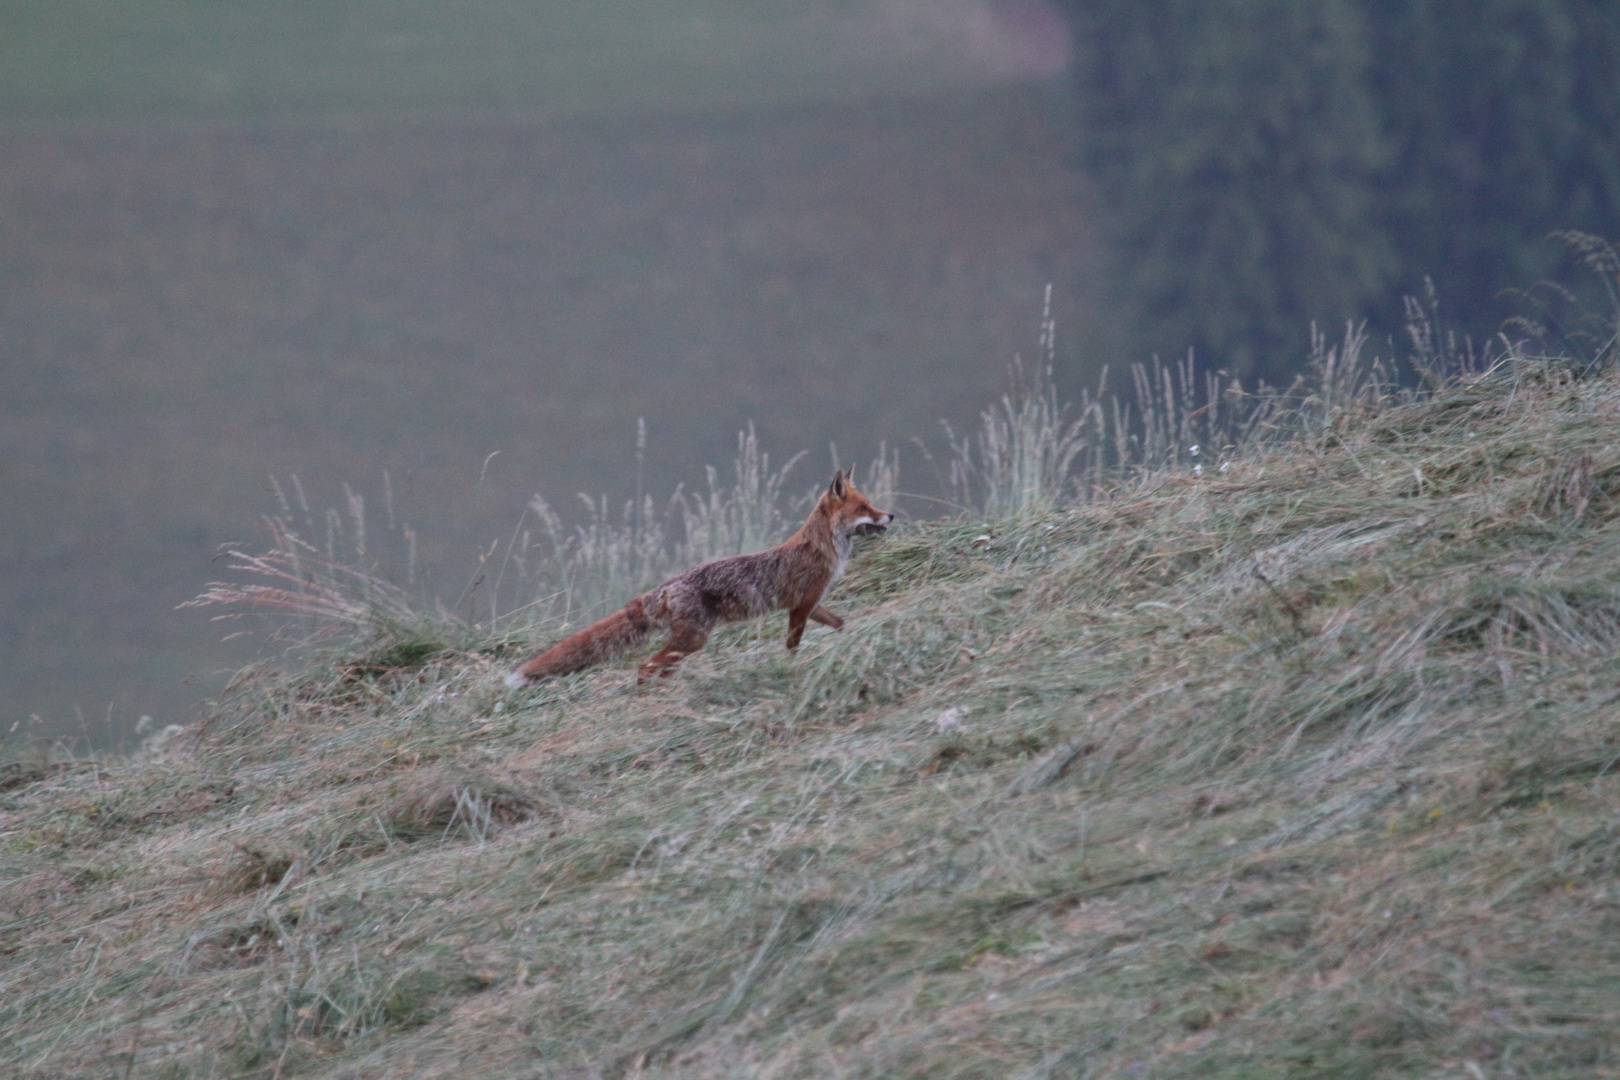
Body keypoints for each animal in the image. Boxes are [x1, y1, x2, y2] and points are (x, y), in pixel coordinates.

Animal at [502, 469, 894, 689]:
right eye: (863, 508)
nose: (890, 515)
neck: (822, 548)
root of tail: (664, 587)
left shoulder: (811, 605)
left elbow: (841, 624)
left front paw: (853, 640)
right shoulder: (799, 608)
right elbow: (792, 647)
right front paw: (791, 668)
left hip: (686, 643)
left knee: (656, 668)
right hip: (693, 639)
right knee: (645, 667)